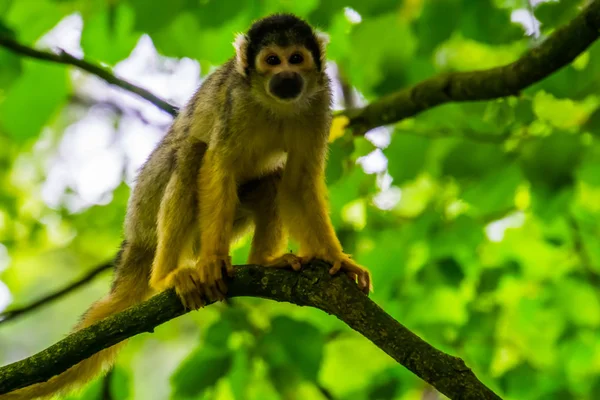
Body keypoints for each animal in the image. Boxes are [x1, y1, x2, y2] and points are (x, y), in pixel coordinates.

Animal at [1, 13, 370, 400]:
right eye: (272, 60)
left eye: (296, 58)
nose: (286, 76)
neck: (274, 103)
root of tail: (133, 238)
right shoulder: (235, 101)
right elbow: (217, 165)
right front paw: (211, 261)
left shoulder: (319, 101)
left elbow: (297, 181)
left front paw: (336, 259)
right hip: (147, 204)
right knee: (191, 153)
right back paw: (166, 275)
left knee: (272, 179)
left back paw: (263, 261)